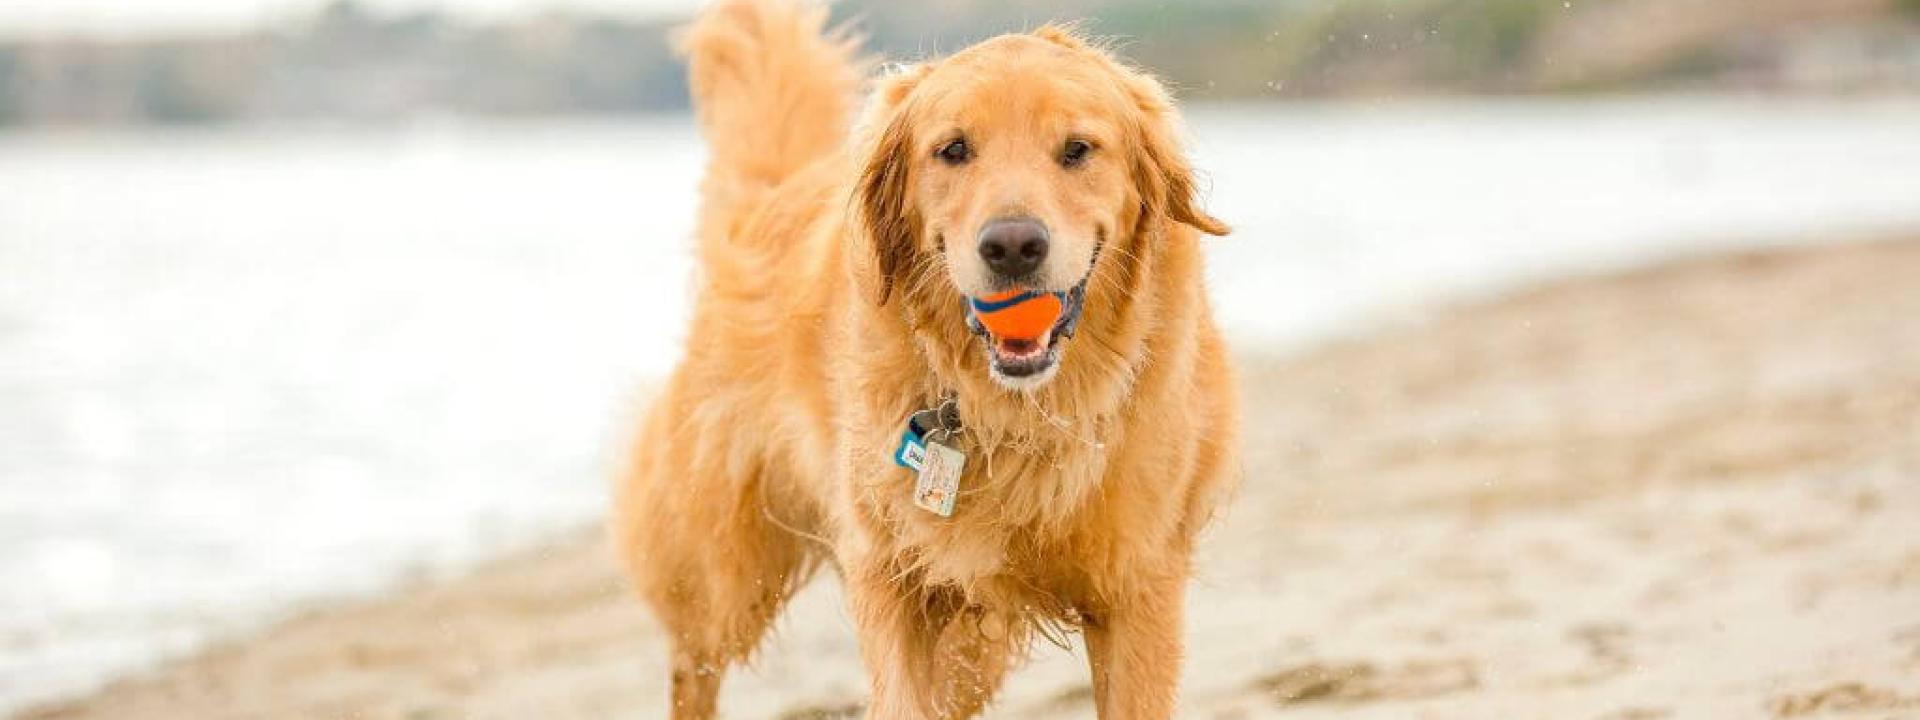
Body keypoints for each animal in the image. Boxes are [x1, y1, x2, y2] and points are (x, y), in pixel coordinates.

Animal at [618, 2, 1244, 718]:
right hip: (723, 565)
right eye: (954, 150)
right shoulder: (892, 577)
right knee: (692, 662)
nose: (1013, 245)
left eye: (1077, 149)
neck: (1018, 412)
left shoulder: (1137, 584)